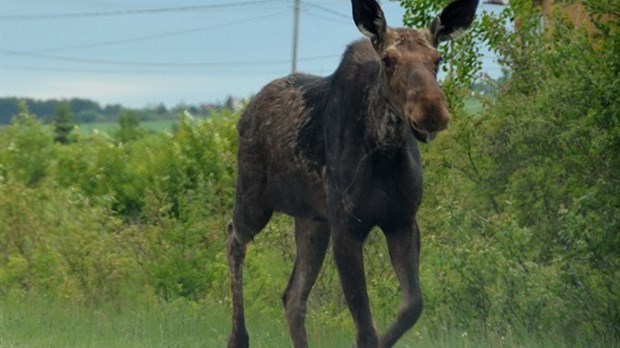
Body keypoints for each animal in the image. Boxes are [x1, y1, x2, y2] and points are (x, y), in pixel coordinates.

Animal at [228, 0, 480, 346]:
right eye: (388, 60)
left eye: (437, 59)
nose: (431, 110)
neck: (384, 149)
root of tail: (245, 114)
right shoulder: (348, 227)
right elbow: (366, 328)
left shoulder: (401, 221)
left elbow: (412, 306)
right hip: (254, 198)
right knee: (234, 239)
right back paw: (238, 336)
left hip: (312, 221)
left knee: (293, 296)